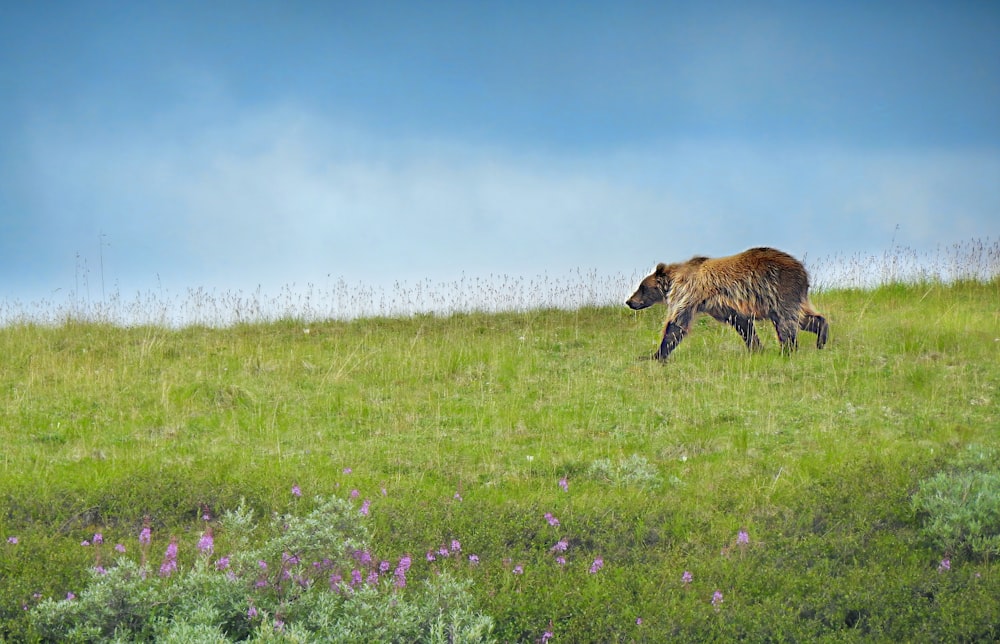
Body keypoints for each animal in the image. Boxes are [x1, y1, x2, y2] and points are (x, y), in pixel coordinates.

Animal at [624, 247, 828, 360]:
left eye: (642, 286)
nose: (629, 301)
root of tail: (803, 270)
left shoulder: (688, 293)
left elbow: (677, 323)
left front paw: (653, 355)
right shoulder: (724, 307)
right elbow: (744, 325)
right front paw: (756, 348)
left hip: (780, 289)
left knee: (787, 322)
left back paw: (788, 350)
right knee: (801, 318)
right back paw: (821, 337)